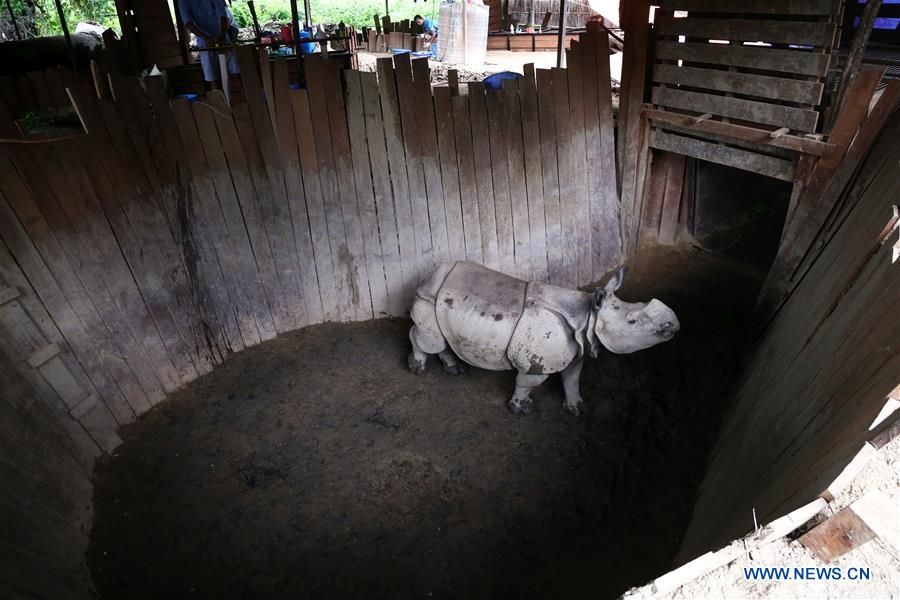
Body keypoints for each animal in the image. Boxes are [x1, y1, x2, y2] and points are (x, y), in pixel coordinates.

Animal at [408, 261, 680, 416]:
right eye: (632, 321)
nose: (672, 324)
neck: (588, 316)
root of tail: (430, 275)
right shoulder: (536, 362)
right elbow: (529, 383)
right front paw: (520, 409)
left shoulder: (576, 350)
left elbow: (572, 379)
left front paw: (577, 409)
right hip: (428, 296)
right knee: (429, 339)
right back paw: (417, 369)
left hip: (437, 298)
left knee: (439, 340)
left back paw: (453, 368)